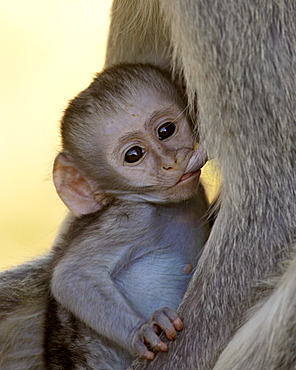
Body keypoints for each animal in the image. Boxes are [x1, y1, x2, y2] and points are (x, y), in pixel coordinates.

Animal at [44, 63, 210, 368]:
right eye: (134, 155)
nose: (171, 163)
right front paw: (142, 330)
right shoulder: (134, 218)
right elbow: (71, 276)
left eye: (166, 130)